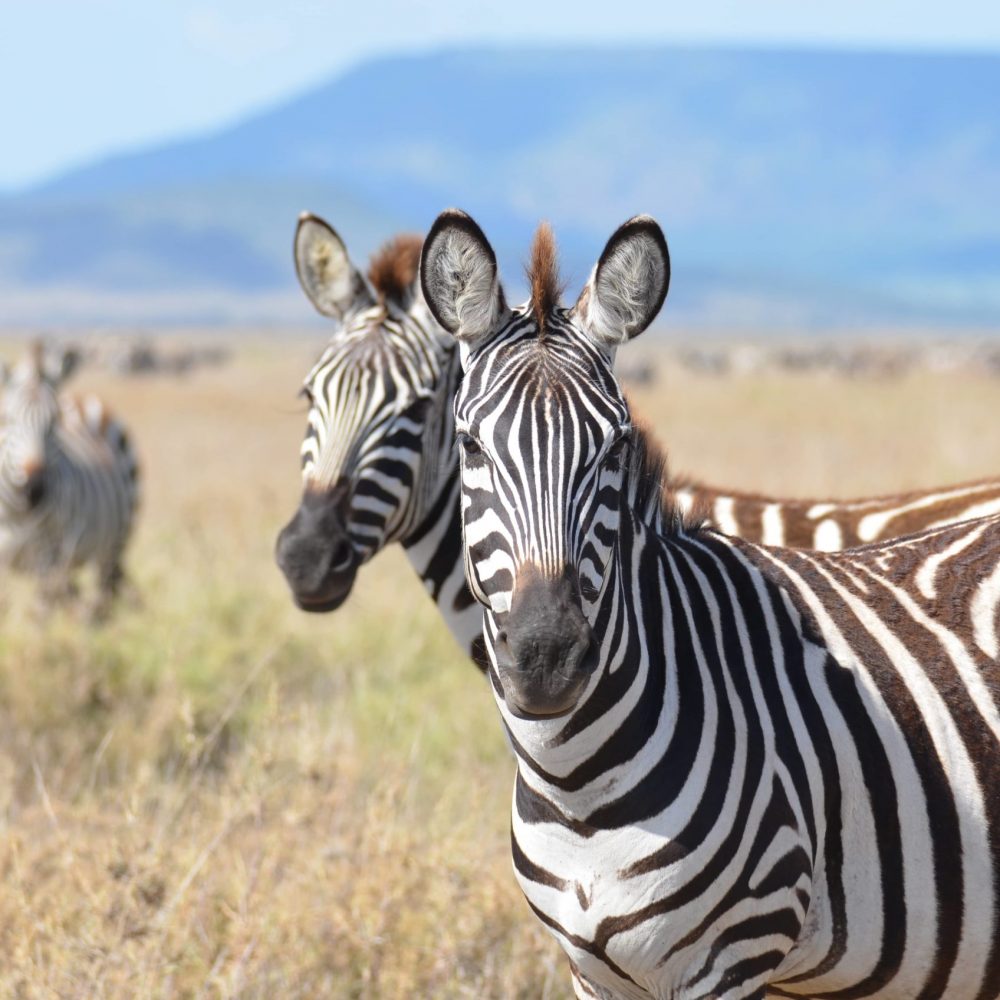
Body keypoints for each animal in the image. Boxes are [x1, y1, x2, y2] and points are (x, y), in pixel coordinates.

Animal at [0, 340, 141, 612]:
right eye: (7, 419)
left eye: (54, 421)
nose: (35, 490)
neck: (15, 513)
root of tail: (81, 400)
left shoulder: (47, 556)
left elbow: (41, 613)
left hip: (113, 542)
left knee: (102, 596)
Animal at [416, 207, 1000, 996]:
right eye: (471, 446)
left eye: (615, 449)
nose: (545, 657)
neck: (575, 788)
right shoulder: (590, 972)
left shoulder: (735, 954)